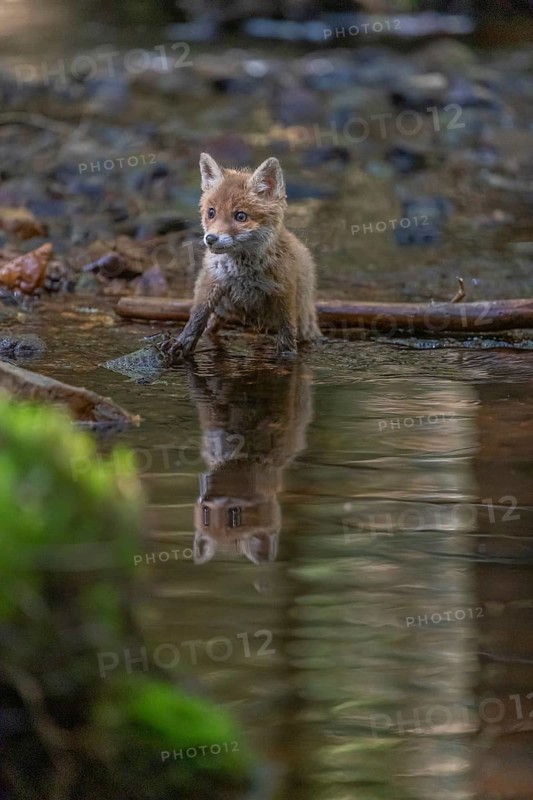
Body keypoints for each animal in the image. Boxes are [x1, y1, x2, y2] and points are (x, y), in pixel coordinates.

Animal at [161, 152, 321, 360]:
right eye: (211, 212)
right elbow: (196, 319)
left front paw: (287, 357)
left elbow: (286, 332)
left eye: (241, 216)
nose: (210, 239)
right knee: (211, 327)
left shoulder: (284, 291)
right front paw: (181, 343)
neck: (242, 273)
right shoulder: (211, 282)